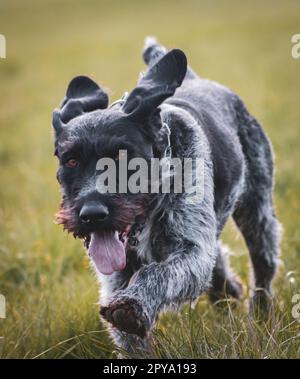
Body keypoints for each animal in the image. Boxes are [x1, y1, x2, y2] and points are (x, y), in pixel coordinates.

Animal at [52, 37, 280, 352]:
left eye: (123, 157)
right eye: (70, 161)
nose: (92, 214)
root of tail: (197, 80)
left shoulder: (191, 248)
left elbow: (157, 273)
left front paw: (132, 306)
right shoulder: (116, 276)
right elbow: (129, 339)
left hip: (257, 211)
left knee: (262, 265)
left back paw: (259, 314)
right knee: (219, 259)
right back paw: (229, 293)